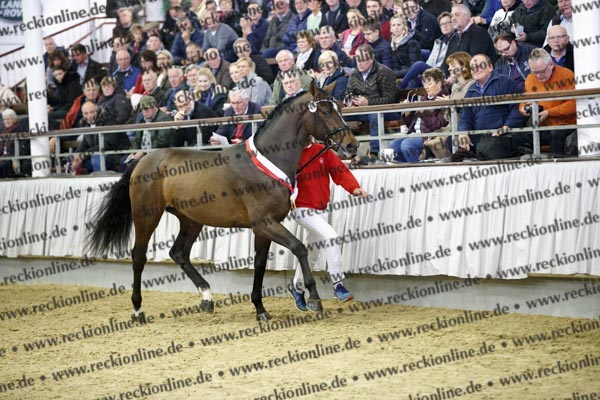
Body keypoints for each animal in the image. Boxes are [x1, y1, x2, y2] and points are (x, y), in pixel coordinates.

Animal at [87, 82, 359, 321]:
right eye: (326, 111)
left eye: (340, 107)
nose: (352, 145)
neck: (268, 161)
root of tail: (143, 160)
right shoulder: (266, 223)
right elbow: (300, 248)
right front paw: (314, 298)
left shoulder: (264, 228)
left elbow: (260, 264)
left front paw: (260, 310)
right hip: (147, 216)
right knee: (139, 256)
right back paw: (137, 310)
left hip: (191, 220)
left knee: (179, 253)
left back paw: (207, 298)